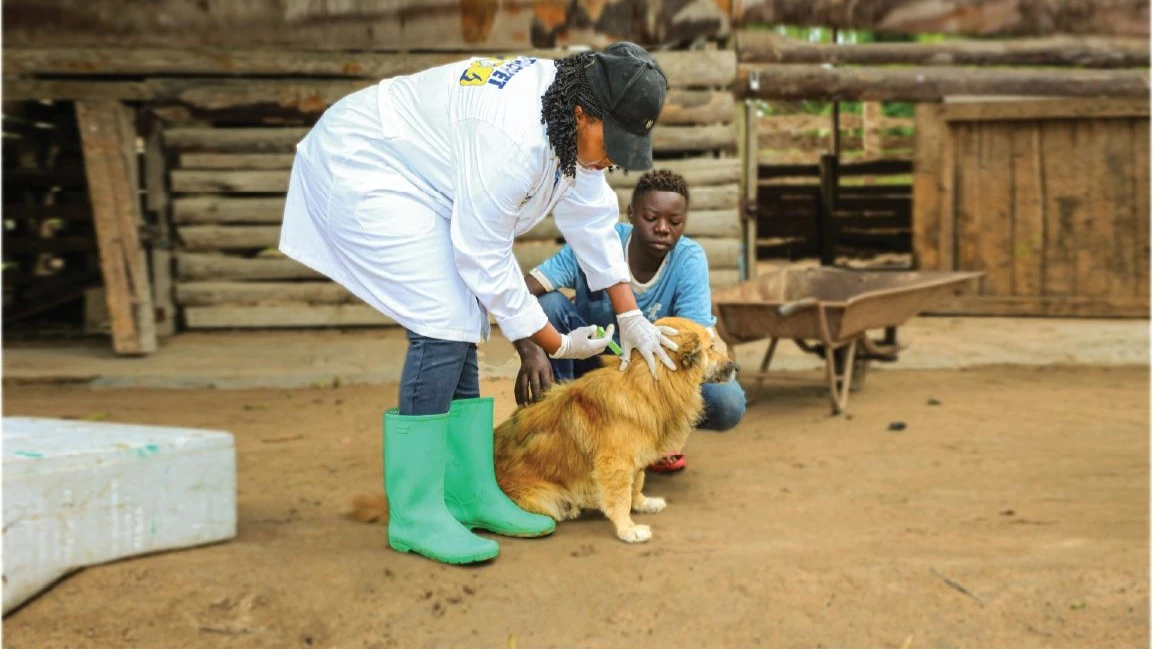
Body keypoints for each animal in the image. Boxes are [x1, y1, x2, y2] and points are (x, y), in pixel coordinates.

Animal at [350, 315, 737, 544]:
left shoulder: (634, 461)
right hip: (542, 498)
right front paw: (628, 529)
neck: (646, 383)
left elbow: (636, 485)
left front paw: (643, 504)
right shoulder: (613, 465)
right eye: (712, 347)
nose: (736, 366)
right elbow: (619, 497)